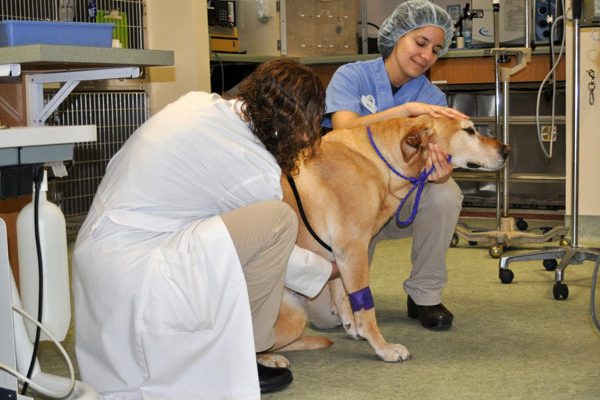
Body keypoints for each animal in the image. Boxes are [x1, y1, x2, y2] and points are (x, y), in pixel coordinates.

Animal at [264, 115, 508, 366]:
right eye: (469, 130)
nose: (506, 150)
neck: (378, 162)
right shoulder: (353, 251)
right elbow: (366, 309)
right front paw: (382, 347)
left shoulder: (339, 255)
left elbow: (343, 296)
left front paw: (352, 326)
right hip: (295, 317)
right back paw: (272, 358)